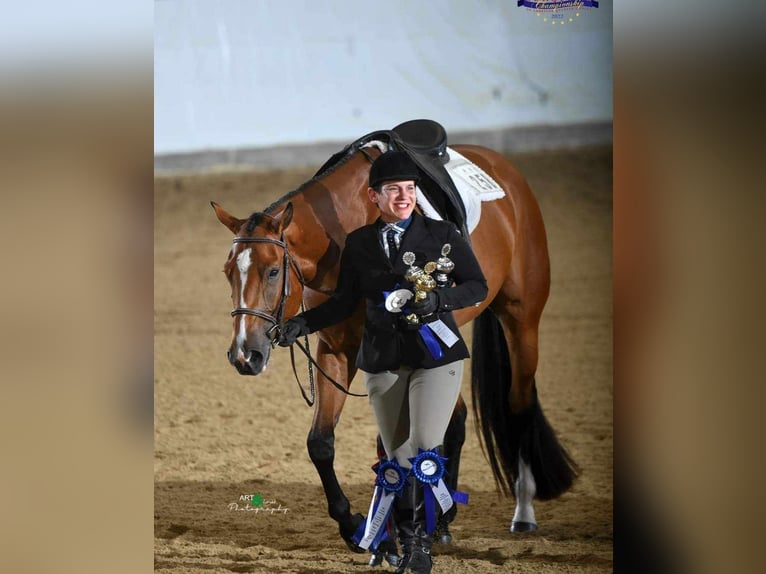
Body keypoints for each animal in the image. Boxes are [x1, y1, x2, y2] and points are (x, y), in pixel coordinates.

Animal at [213, 143, 580, 552]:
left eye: (274, 271)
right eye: (228, 272)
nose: (245, 354)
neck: (343, 232)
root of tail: (503, 167)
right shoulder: (336, 351)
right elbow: (321, 443)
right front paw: (357, 526)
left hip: (521, 320)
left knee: (518, 406)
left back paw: (521, 511)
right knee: (455, 419)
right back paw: (443, 519)